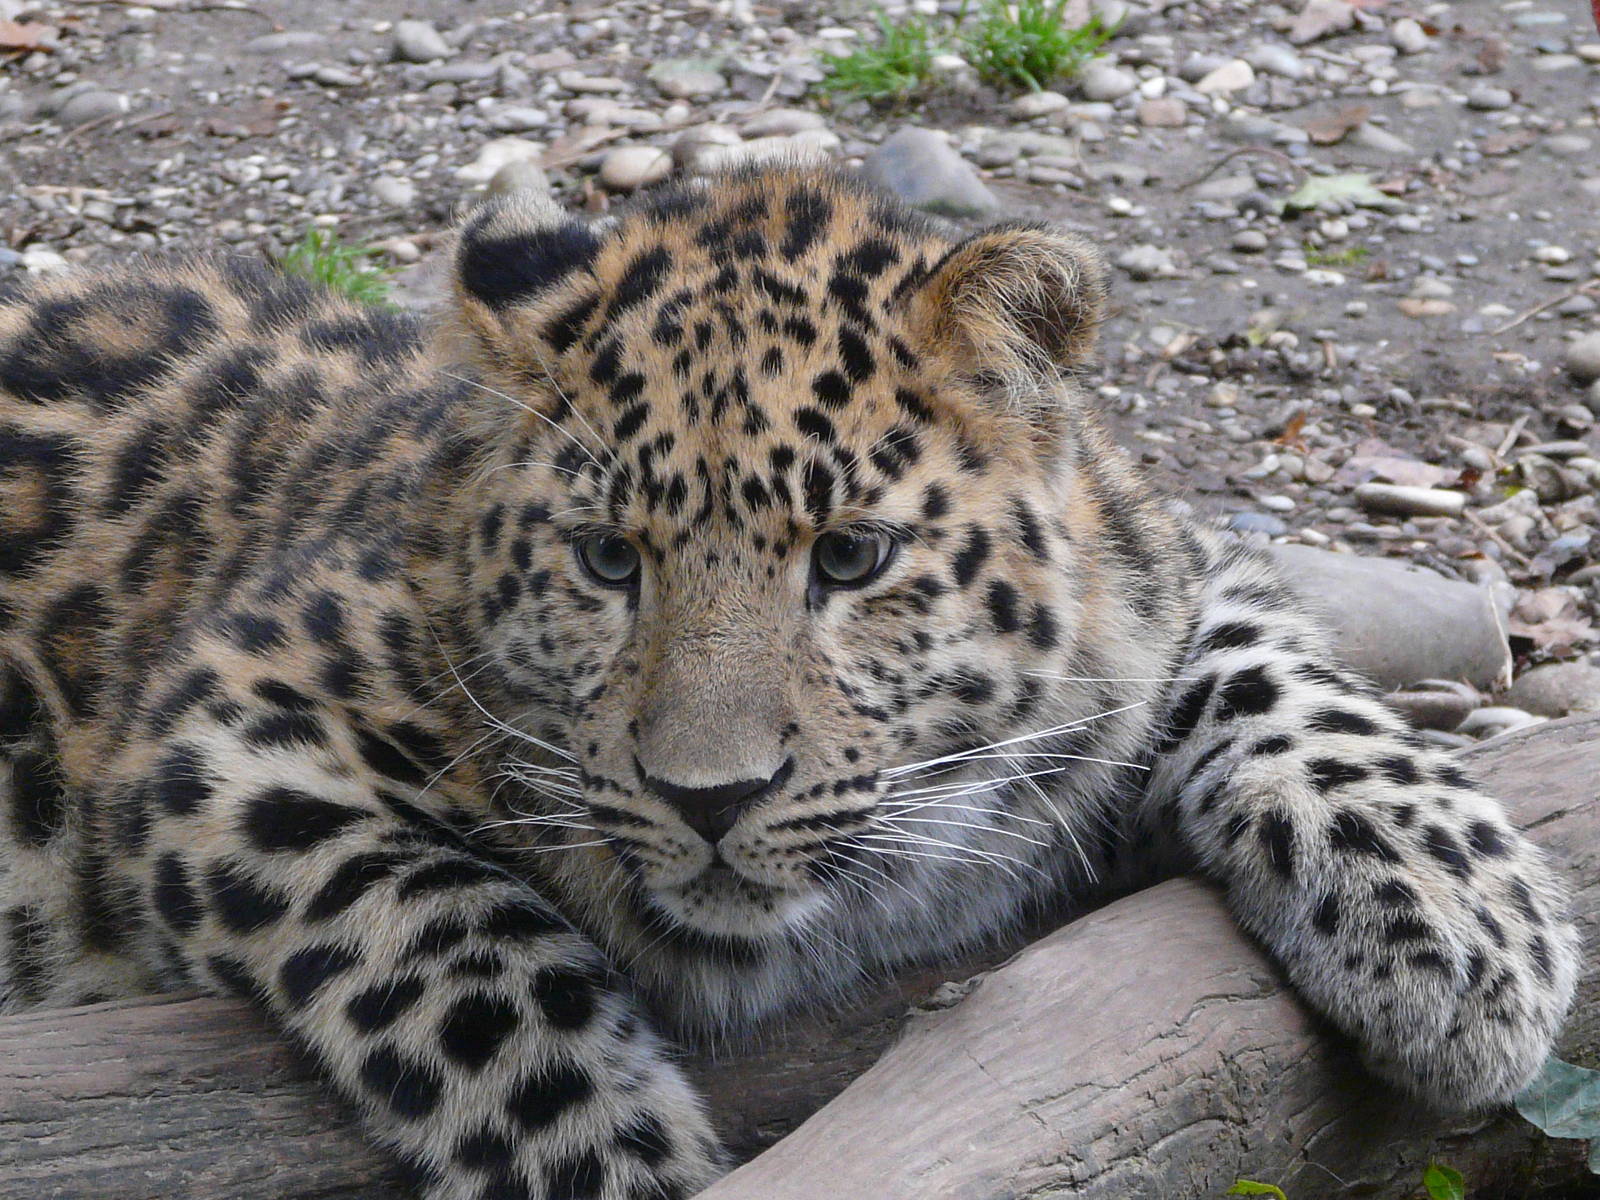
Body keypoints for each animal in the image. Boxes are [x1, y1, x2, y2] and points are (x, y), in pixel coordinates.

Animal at [0, 163, 1579, 1200]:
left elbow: (1264, 668)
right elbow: (449, 945)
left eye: (851, 556)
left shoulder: (1156, 583)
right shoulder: (226, 731)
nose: (712, 799)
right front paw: (616, 1164)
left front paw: (1461, 922)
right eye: (606, 558)